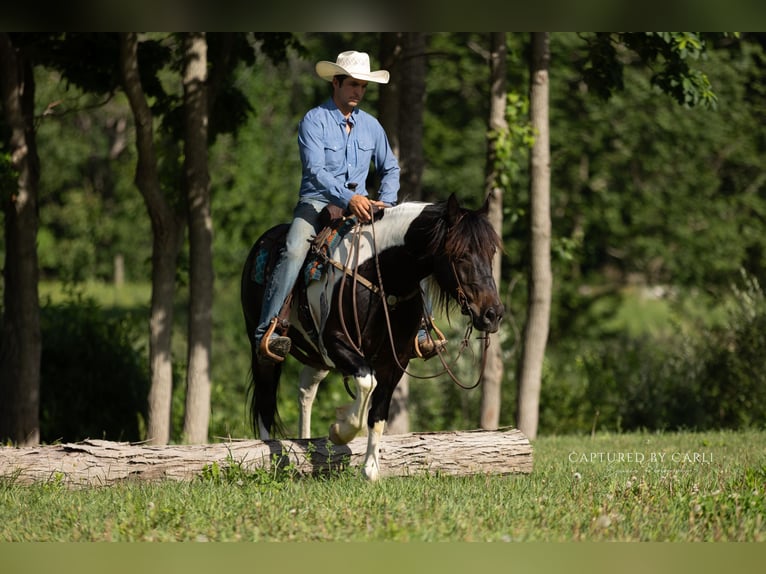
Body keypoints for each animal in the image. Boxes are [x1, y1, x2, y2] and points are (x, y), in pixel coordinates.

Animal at [240, 193, 504, 481]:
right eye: (461, 254)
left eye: (491, 252)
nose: (493, 314)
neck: (382, 278)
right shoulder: (334, 342)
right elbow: (367, 382)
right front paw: (340, 428)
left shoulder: (395, 359)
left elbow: (378, 411)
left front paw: (370, 469)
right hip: (264, 347)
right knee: (266, 399)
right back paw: (265, 451)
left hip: (317, 359)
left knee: (306, 390)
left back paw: (305, 440)